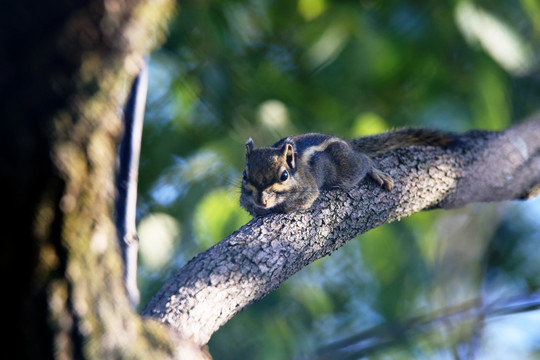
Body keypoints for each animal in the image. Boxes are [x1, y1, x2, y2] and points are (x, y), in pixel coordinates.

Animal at [240, 129, 456, 217]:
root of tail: (347, 144)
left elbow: (295, 204)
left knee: (364, 161)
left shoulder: (308, 189)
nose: (262, 201)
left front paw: (274, 208)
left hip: (347, 169)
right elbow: (246, 205)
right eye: (245, 175)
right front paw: (257, 209)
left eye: (284, 176)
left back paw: (374, 171)